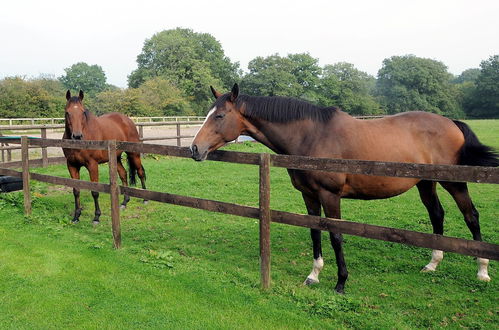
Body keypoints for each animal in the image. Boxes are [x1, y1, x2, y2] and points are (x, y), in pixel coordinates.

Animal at [63, 90, 146, 224]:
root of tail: (127, 119)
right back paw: (124, 202)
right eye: (67, 112)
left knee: (140, 172)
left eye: (82, 112)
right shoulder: (72, 165)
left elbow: (95, 191)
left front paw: (96, 217)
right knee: (123, 174)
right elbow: (76, 191)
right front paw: (76, 216)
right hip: (116, 158)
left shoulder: (92, 165)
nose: (77, 136)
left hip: (134, 154)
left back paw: (145, 199)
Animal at [189, 84, 498, 292]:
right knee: (437, 214)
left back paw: (482, 271)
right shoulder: (309, 195)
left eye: (219, 116)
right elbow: (315, 232)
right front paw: (313, 276)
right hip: (426, 183)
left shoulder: (330, 196)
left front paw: (341, 282)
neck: (311, 136)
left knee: (471, 216)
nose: (194, 148)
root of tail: (450, 122)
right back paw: (433, 264)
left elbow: (336, 235)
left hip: (454, 182)